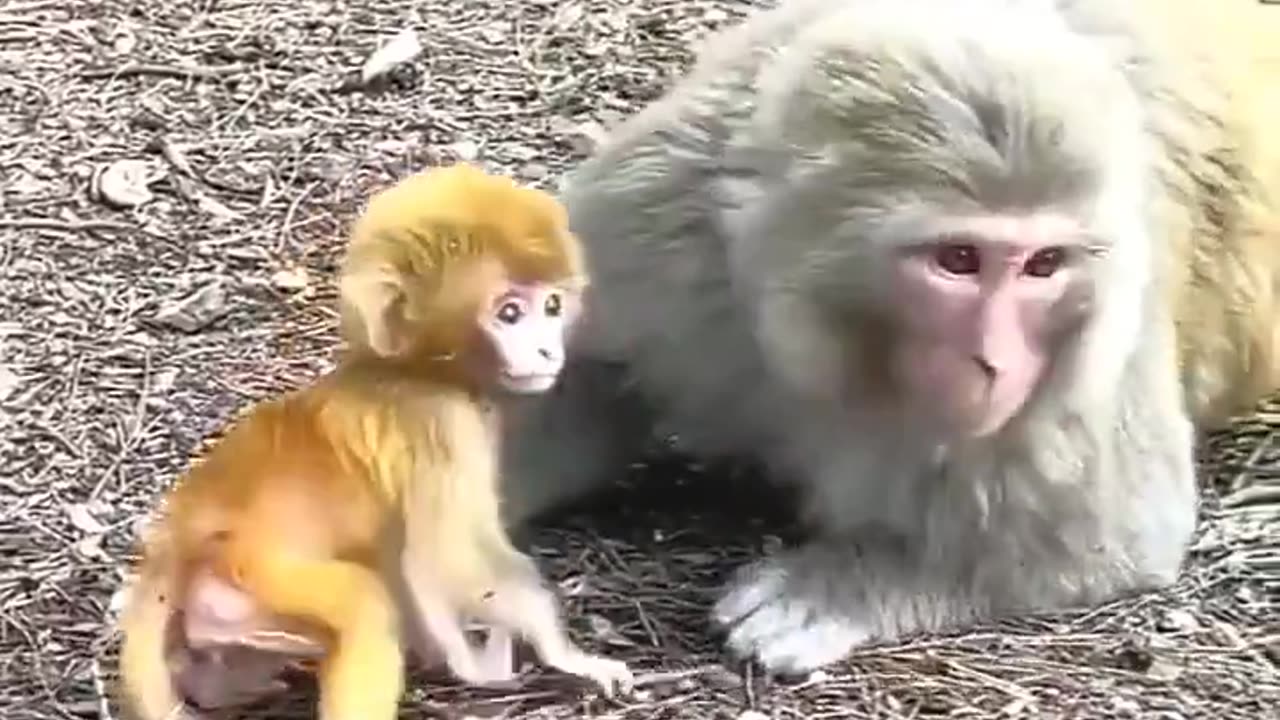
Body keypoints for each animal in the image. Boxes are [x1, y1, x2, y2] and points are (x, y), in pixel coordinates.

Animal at [117, 163, 632, 717]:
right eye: (510, 313)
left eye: (552, 305)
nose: (546, 350)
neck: (414, 371)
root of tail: (187, 534)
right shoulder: (443, 423)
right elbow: (453, 557)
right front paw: (568, 656)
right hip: (261, 574)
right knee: (366, 602)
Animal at [496, 0, 1280, 671]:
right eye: (958, 260)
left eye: (1045, 265)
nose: (995, 362)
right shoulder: (658, 216)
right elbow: (574, 377)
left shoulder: (1107, 343)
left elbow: (1113, 536)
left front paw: (836, 586)